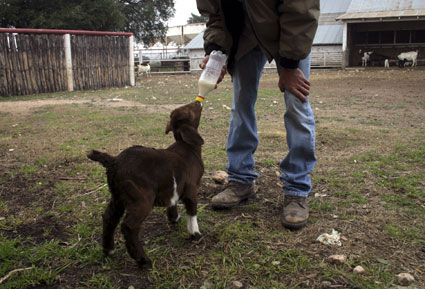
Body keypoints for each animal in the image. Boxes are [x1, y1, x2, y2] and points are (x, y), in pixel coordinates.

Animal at [87, 101, 203, 268]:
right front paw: (195, 233)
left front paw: (173, 218)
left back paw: (108, 250)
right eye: (189, 110)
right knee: (129, 226)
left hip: (117, 196)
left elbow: (173, 201)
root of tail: (114, 162)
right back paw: (143, 259)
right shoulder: (191, 186)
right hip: (140, 197)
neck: (188, 147)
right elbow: (192, 209)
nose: (198, 102)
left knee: (109, 218)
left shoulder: (174, 185)